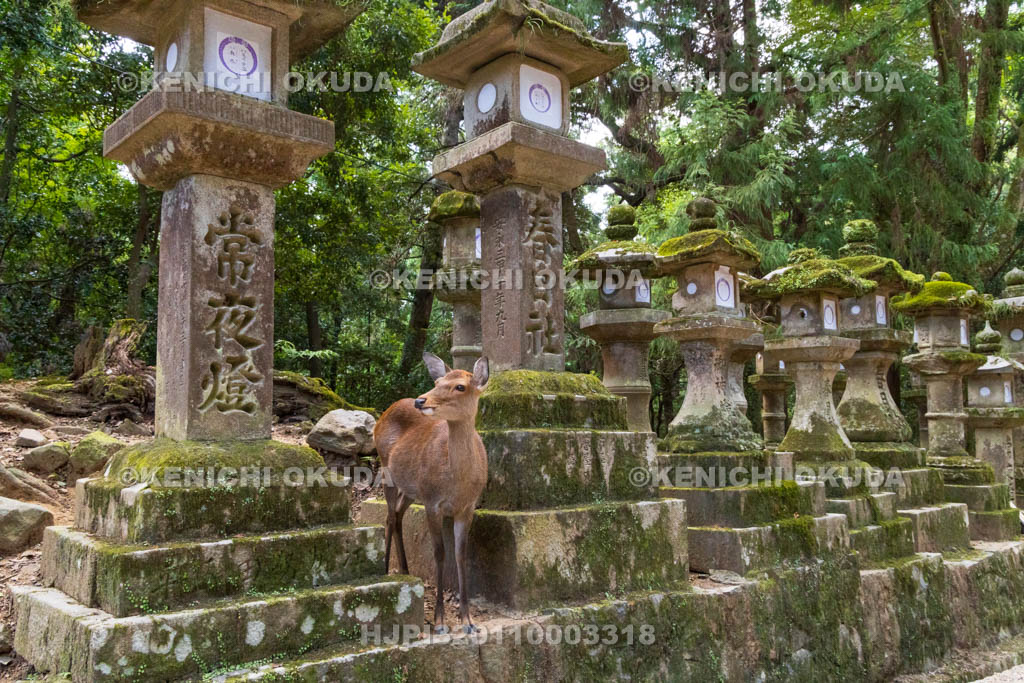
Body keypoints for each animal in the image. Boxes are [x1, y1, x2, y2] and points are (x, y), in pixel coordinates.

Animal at [373, 352, 489, 633]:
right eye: (437, 381)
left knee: (398, 515)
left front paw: (468, 621)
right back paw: (386, 568)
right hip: (386, 470)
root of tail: (383, 414)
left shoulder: (467, 507)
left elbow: (460, 555)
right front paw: (439, 621)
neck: (458, 484)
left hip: (411, 489)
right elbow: (440, 553)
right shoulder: (432, 502)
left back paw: (405, 570)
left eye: (460, 386)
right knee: (389, 517)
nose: (420, 400)